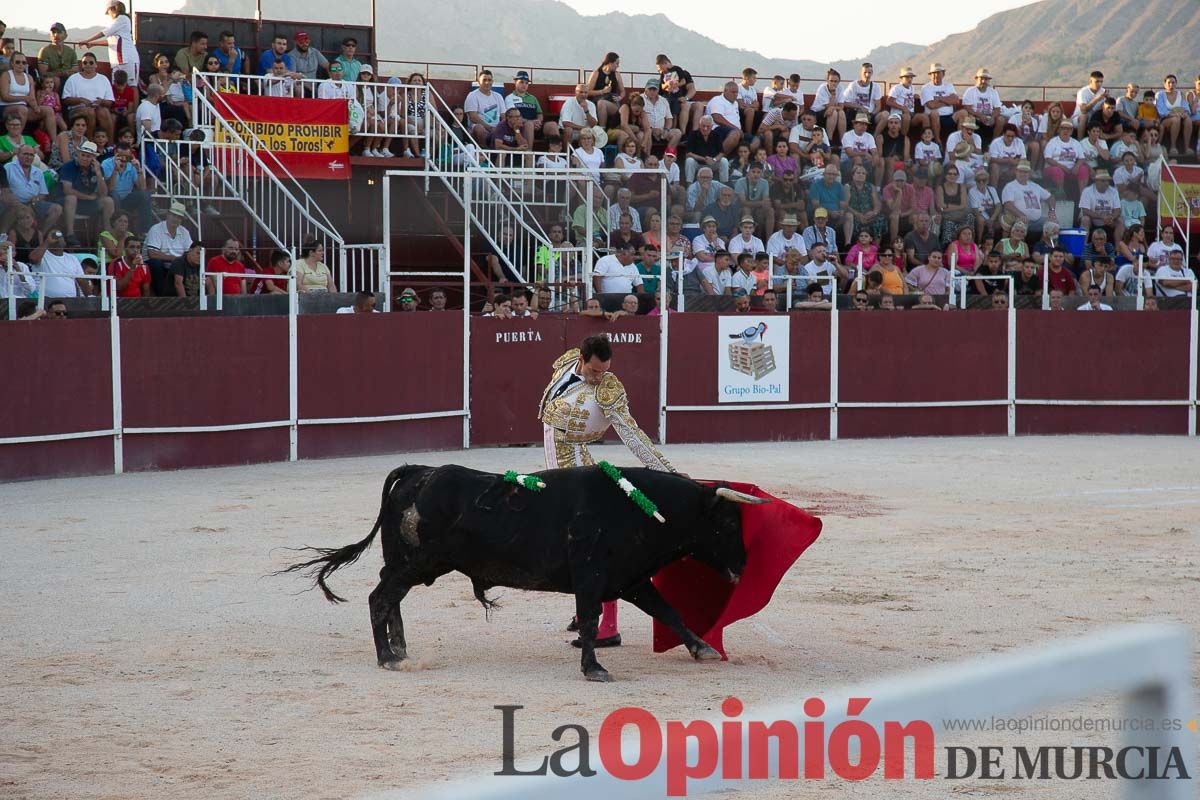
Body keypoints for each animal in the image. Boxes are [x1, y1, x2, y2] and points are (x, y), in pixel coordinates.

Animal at [284, 462, 763, 681]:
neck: (637, 509)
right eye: (726, 524)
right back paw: (387, 658)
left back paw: (400, 651)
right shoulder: (591, 578)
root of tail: (421, 471)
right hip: (417, 563)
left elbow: (669, 612)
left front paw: (703, 648)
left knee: (391, 598)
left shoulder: (631, 580)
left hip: (410, 563)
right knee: (380, 596)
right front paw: (594, 669)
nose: (742, 566)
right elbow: (589, 621)